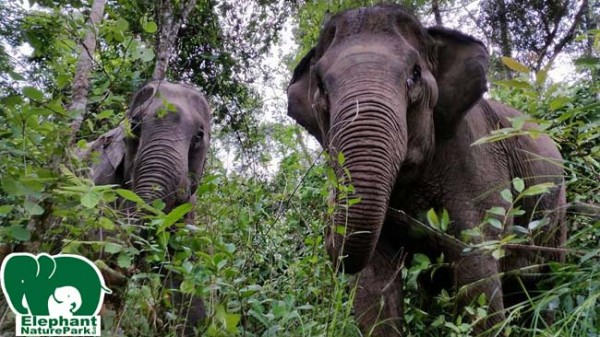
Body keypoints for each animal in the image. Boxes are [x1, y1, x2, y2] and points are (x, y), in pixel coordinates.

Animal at [288, 3, 568, 334]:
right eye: (320, 85)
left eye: (415, 74)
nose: (330, 214)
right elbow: (374, 286)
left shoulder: (475, 157)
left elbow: (476, 267)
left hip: (558, 206)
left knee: (550, 278)